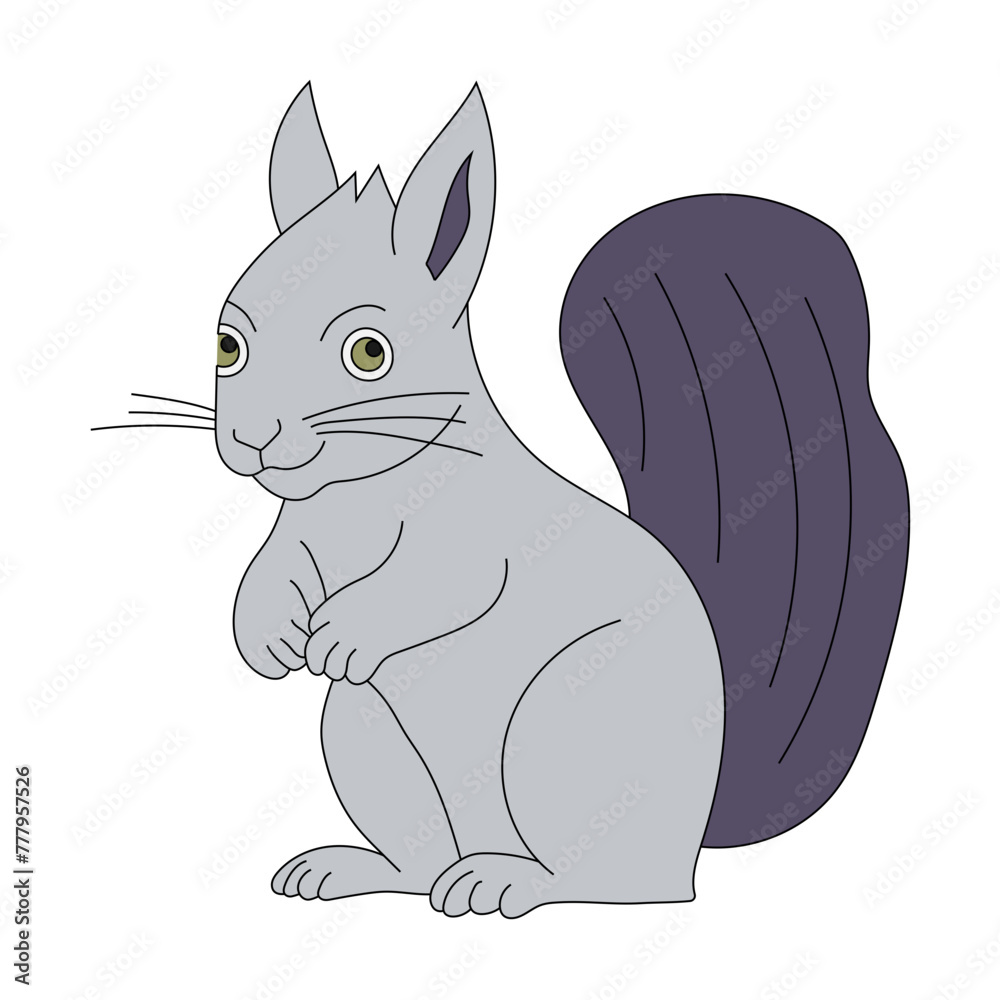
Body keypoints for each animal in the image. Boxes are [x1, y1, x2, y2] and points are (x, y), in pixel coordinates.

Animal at [209, 82, 907, 918]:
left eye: (369, 353)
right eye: (227, 344)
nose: (251, 437)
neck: (357, 496)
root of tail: (687, 852)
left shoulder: (474, 541)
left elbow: (438, 586)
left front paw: (344, 633)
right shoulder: (298, 533)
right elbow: (266, 574)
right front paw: (268, 639)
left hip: (559, 730)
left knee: (606, 883)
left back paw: (505, 881)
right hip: (364, 737)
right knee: (421, 866)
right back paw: (358, 870)